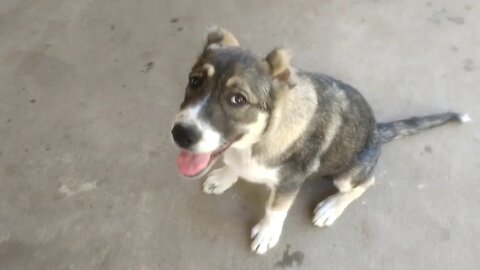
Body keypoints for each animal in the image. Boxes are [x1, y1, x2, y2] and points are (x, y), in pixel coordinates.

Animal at [171, 28, 470, 254]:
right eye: (194, 81)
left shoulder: (290, 183)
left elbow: (276, 209)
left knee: (366, 183)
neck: (259, 141)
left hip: (348, 174)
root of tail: (376, 130)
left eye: (238, 99)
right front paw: (225, 177)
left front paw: (267, 233)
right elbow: (234, 165)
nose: (180, 134)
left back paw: (331, 207)